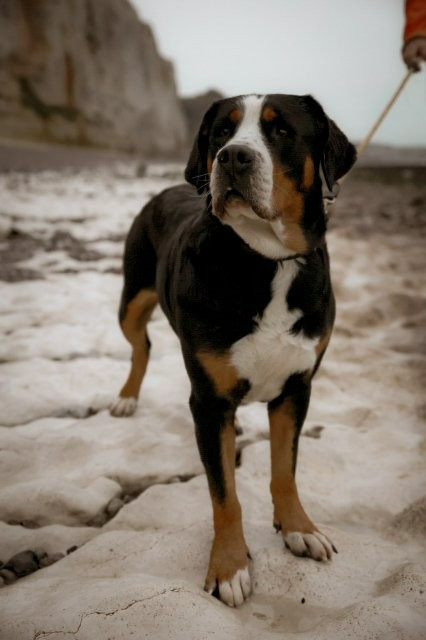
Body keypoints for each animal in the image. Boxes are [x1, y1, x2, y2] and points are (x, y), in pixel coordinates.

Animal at [110, 93, 356, 607]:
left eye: (281, 131)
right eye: (222, 131)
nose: (233, 158)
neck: (266, 262)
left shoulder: (296, 388)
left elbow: (285, 469)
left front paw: (299, 529)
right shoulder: (208, 403)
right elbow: (224, 495)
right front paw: (228, 567)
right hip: (131, 298)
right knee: (141, 345)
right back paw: (126, 397)